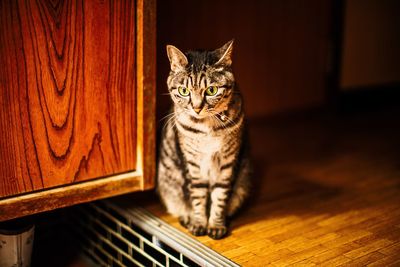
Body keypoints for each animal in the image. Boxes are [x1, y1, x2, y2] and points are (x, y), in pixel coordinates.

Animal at [157, 40, 253, 241]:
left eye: (211, 90)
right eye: (184, 91)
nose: (197, 107)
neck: (207, 128)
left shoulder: (227, 163)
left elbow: (220, 196)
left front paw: (215, 225)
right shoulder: (192, 165)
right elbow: (197, 196)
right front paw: (199, 223)